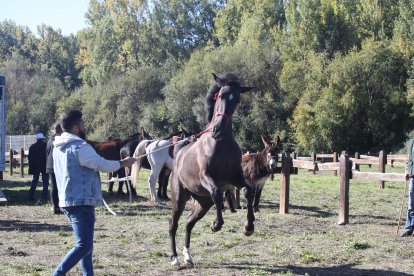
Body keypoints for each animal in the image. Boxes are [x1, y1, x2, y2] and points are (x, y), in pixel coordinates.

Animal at [169, 73, 254, 268]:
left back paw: (188, 257)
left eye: (236, 99)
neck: (220, 143)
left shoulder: (236, 177)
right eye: (220, 96)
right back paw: (175, 259)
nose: (218, 129)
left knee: (188, 224)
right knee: (173, 225)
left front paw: (249, 227)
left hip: (203, 203)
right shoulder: (206, 177)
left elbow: (247, 191)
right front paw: (216, 224)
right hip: (179, 200)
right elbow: (217, 194)